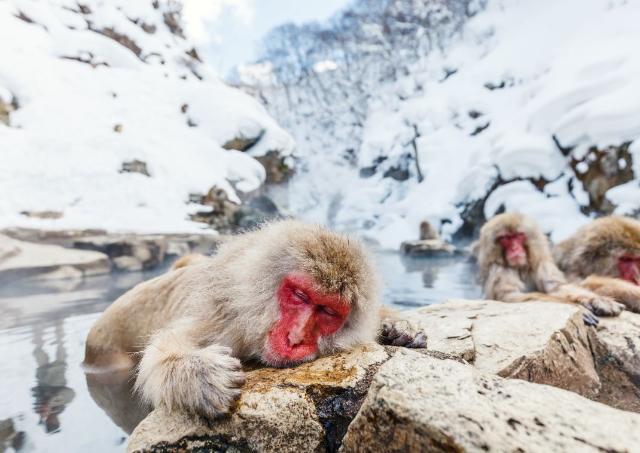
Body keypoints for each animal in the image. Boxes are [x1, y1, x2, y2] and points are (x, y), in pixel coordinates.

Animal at [84, 221, 424, 418]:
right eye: (300, 296)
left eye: (328, 311)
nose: (296, 337)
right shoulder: (223, 320)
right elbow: (164, 350)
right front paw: (199, 374)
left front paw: (399, 326)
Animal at [472, 212, 624, 322]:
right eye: (505, 239)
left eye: (518, 236)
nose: (515, 248)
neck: (520, 268)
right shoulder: (498, 270)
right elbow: (510, 296)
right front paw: (576, 307)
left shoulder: (542, 263)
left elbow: (557, 287)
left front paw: (598, 300)